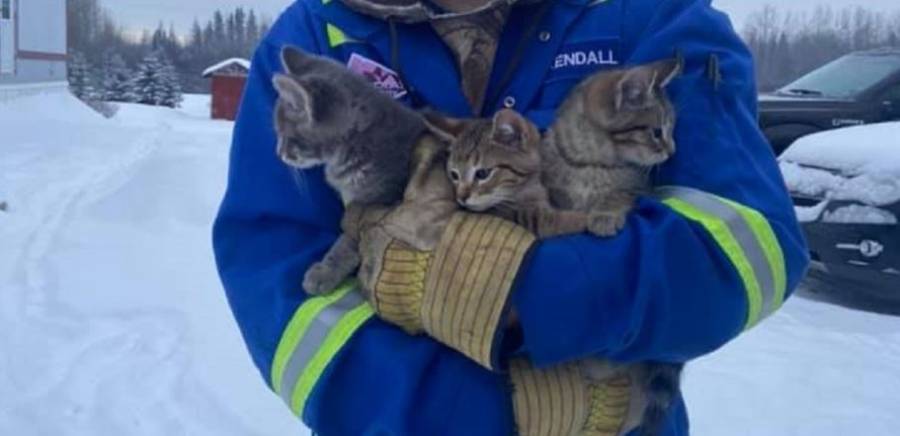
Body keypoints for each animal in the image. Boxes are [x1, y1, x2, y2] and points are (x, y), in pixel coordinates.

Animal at [428, 59, 684, 436]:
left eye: (482, 173)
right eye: (655, 131)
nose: (671, 150)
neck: (592, 163)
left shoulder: (634, 189)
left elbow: (618, 196)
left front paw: (605, 213)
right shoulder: (540, 209)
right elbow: (559, 218)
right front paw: (588, 217)